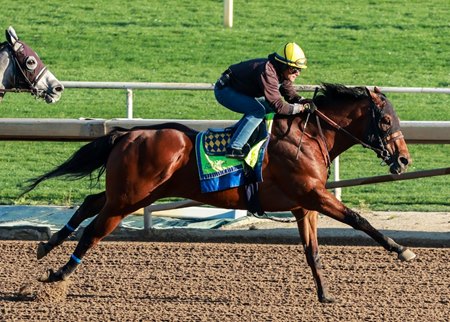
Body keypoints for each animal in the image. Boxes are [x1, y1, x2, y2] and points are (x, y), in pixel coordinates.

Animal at [22, 83, 414, 304]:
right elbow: (359, 220)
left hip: (132, 195)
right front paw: (402, 250)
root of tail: (127, 134)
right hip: (127, 199)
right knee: (93, 231)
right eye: (385, 120)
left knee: (89, 204)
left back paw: (47, 245)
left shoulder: (305, 205)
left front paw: (324, 294)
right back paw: (57, 276)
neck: (309, 136)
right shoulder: (314, 194)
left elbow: (313, 252)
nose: (404, 159)